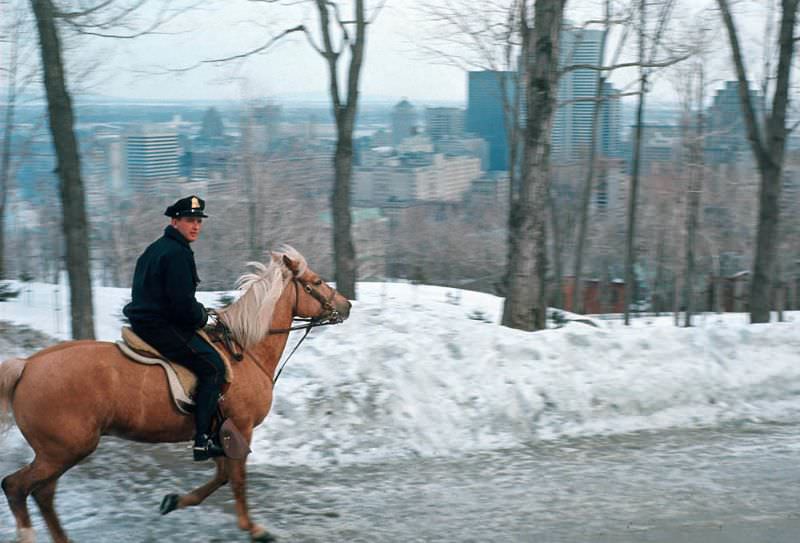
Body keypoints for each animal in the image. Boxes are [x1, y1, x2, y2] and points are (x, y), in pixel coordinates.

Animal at [0, 248, 350, 543]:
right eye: (316, 282)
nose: (346, 305)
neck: (245, 350)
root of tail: (27, 366)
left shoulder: (219, 434)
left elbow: (222, 476)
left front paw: (175, 501)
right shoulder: (239, 428)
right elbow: (236, 480)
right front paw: (253, 529)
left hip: (58, 452)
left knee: (42, 494)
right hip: (64, 450)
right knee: (16, 487)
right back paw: (28, 534)